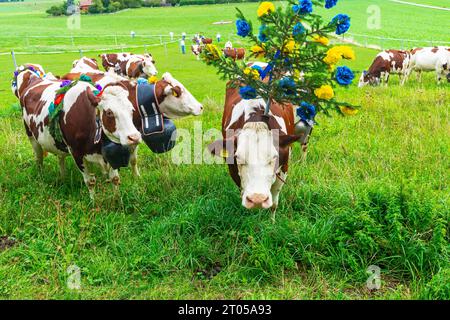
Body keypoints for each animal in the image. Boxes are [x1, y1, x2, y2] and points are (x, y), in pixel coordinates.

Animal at [14, 64, 141, 198]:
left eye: (132, 109)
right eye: (109, 112)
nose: (134, 137)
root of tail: (34, 78)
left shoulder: (111, 155)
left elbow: (115, 179)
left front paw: (117, 199)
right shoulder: (76, 153)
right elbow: (90, 181)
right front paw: (93, 201)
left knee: (60, 158)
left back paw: (63, 177)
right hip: (31, 136)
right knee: (39, 158)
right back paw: (41, 176)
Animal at [209, 83, 304, 218]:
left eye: (274, 158)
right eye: (238, 158)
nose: (257, 199)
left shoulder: (284, 168)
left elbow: (274, 203)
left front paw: (271, 221)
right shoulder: (234, 171)